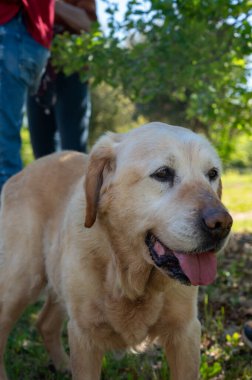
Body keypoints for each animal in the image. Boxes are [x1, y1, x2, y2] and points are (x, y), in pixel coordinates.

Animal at [0, 123, 232, 378]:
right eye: (163, 173)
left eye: (212, 173)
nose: (222, 224)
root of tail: (24, 171)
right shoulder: (85, 335)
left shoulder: (185, 332)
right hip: (21, 282)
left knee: (45, 323)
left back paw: (62, 365)